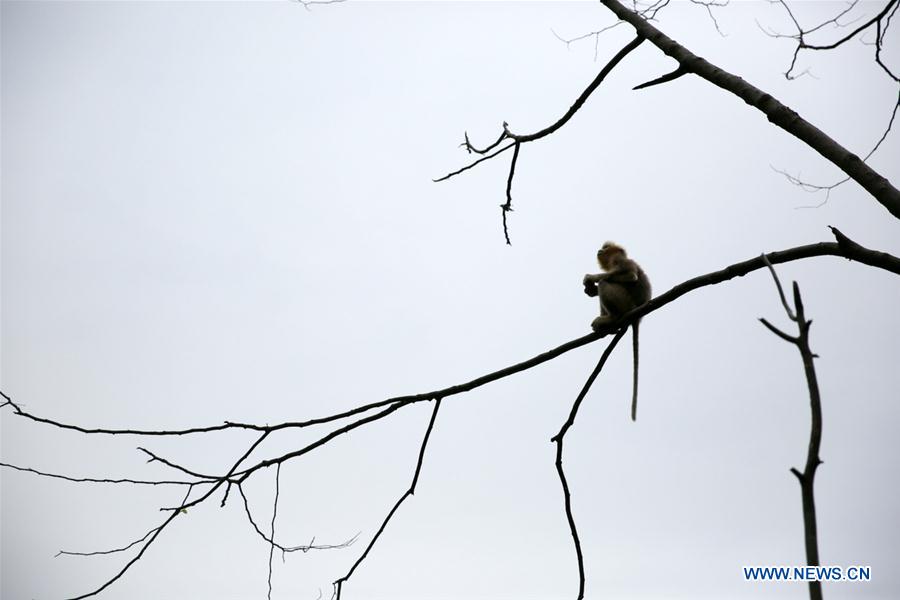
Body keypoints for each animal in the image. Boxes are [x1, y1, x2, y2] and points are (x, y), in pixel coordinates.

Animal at [582, 242, 651, 421]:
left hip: (625, 303)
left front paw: (591, 278)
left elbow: (630, 276)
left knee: (606, 282)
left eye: (606, 247)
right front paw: (590, 290)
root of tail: (637, 316)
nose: (600, 250)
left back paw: (611, 319)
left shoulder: (619, 260)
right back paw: (609, 327)